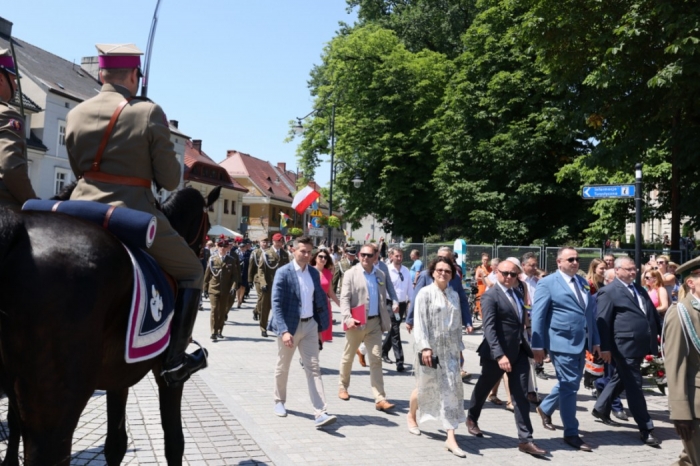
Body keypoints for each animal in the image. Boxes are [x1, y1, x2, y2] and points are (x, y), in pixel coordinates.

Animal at [0, 184, 220, 464]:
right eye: (208, 225)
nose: (203, 256)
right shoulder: (168, 377)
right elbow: (174, 441)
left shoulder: (118, 375)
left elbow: (116, 443)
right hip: (54, 416)